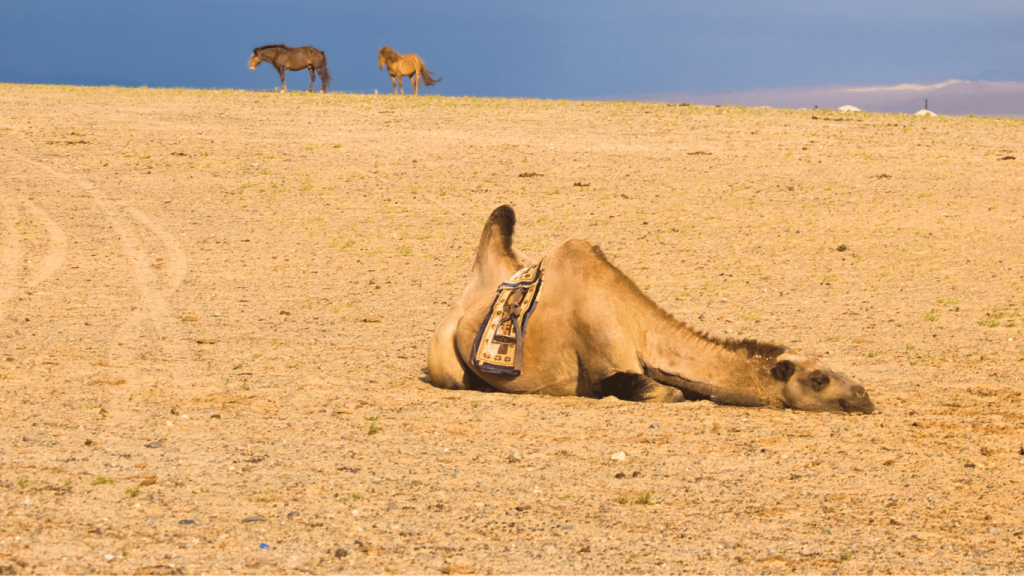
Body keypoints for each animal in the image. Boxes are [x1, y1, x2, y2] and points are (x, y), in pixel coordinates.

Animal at [423, 203, 872, 409]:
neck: (636, 326)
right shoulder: (607, 369)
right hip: (445, 360)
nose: (864, 395)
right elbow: (671, 393)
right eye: (818, 379)